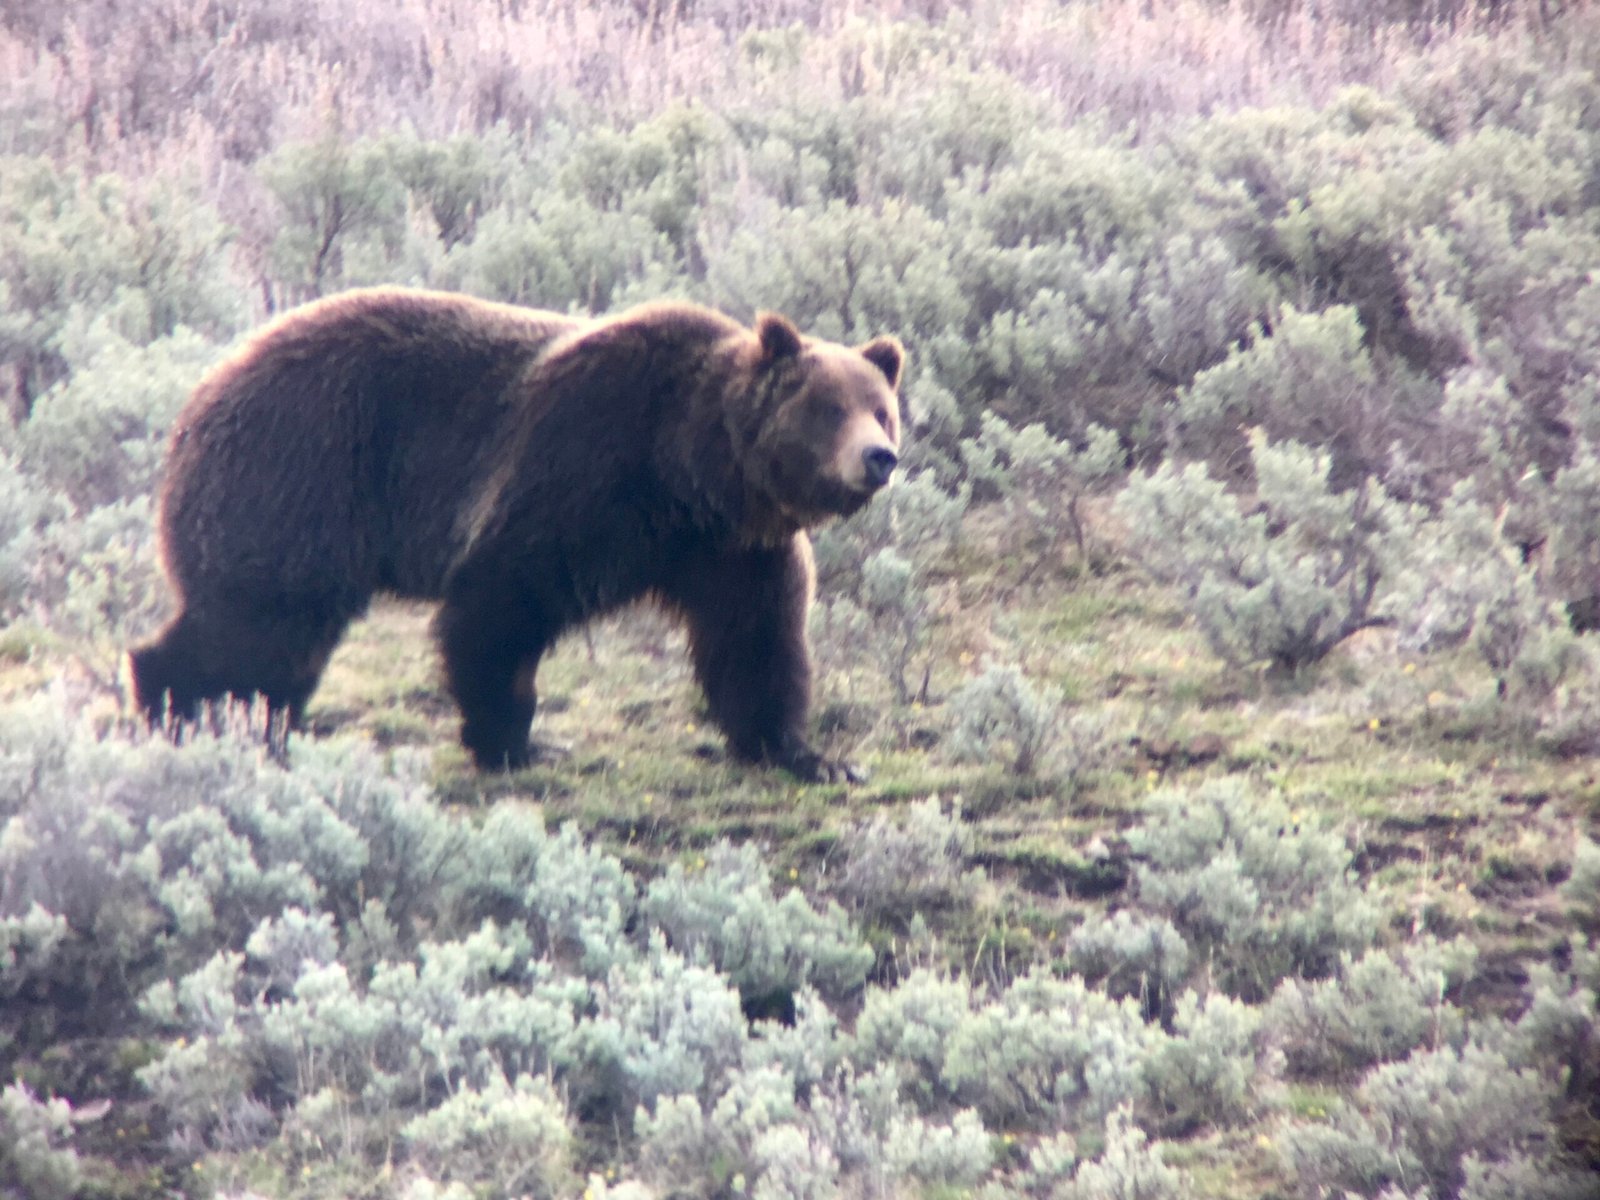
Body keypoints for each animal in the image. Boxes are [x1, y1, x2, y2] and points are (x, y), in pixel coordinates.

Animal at [130, 287, 905, 782]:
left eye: (882, 408)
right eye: (829, 407)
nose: (879, 458)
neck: (690, 473)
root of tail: (200, 396)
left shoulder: (733, 550)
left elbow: (757, 642)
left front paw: (814, 756)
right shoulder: (586, 467)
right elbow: (502, 601)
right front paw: (516, 743)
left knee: (279, 643)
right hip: (300, 472)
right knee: (259, 620)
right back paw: (176, 705)